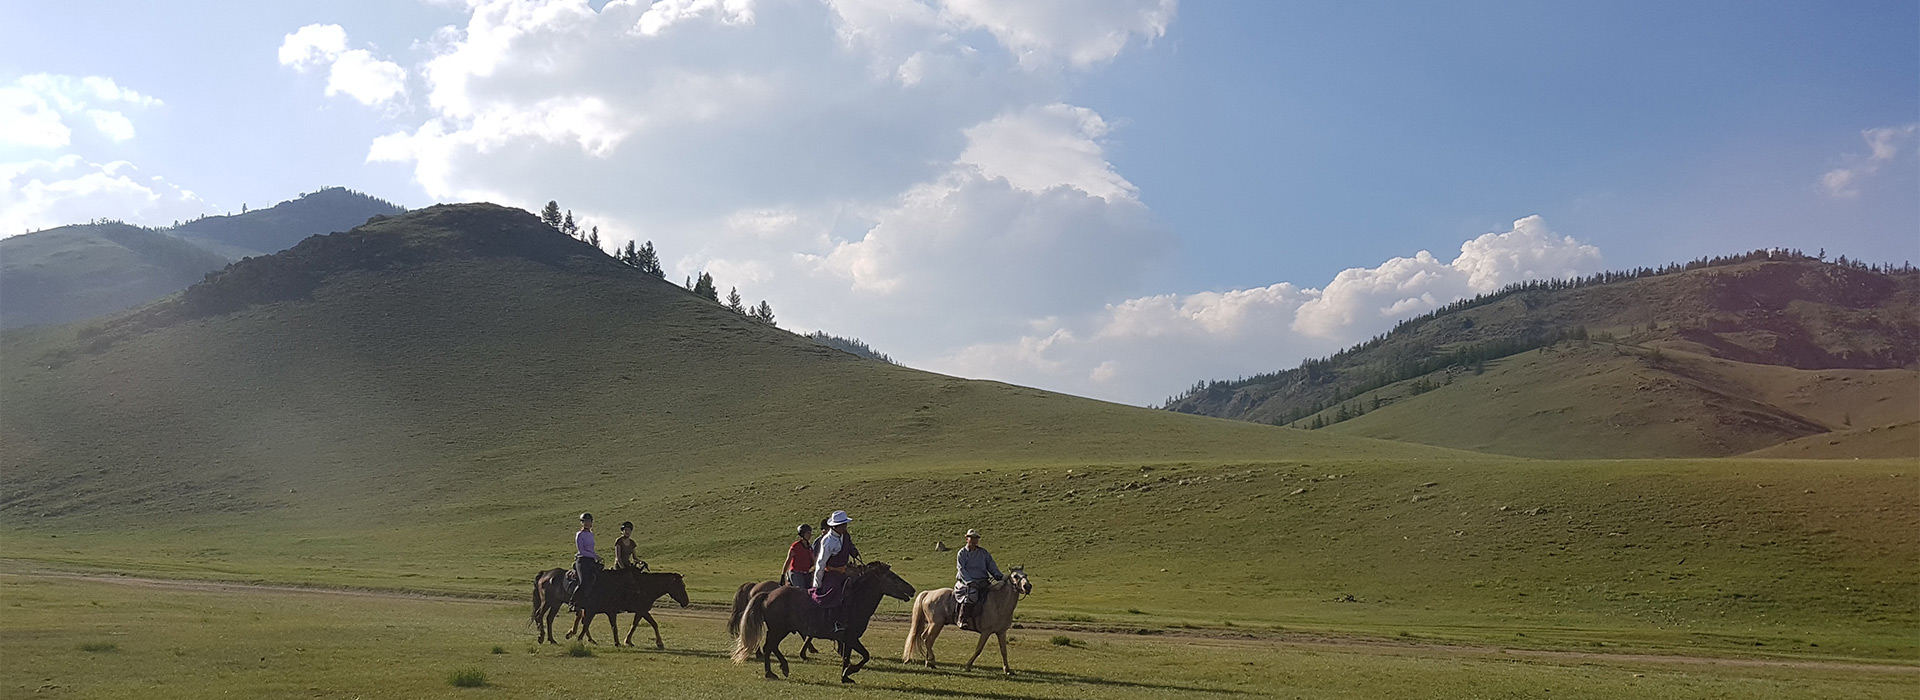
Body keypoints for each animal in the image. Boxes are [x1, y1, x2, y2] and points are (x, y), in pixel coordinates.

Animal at [564, 571, 695, 644]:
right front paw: (659, 643)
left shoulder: (641, 611)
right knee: (584, 621)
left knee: (583, 621)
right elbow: (652, 624)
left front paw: (628, 641)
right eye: (680, 585)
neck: (647, 586)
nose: (686, 602)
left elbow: (636, 624)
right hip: (592, 609)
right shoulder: (642, 610)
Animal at [729, 560, 917, 682]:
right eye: (892, 577)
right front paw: (850, 671)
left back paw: (781, 668)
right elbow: (864, 656)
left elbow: (848, 656)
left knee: (771, 647)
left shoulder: (847, 639)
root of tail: (767, 594)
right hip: (779, 629)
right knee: (769, 647)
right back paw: (773, 672)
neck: (856, 600)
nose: (912, 589)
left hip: (780, 629)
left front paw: (845, 675)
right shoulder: (851, 637)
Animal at [902, 567, 1036, 671]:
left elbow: (1004, 650)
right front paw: (968, 666)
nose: (1027, 586)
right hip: (936, 624)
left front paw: (1007, 669)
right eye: (1015, 576)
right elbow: (978, 649)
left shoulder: (1001, 632)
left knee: (925, 638)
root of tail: (929, 593)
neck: (999, 602)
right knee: (928, 639)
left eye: (1026, 575)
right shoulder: (986, 632)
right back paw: (932, 661)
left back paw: (928, 662)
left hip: (933, 624)